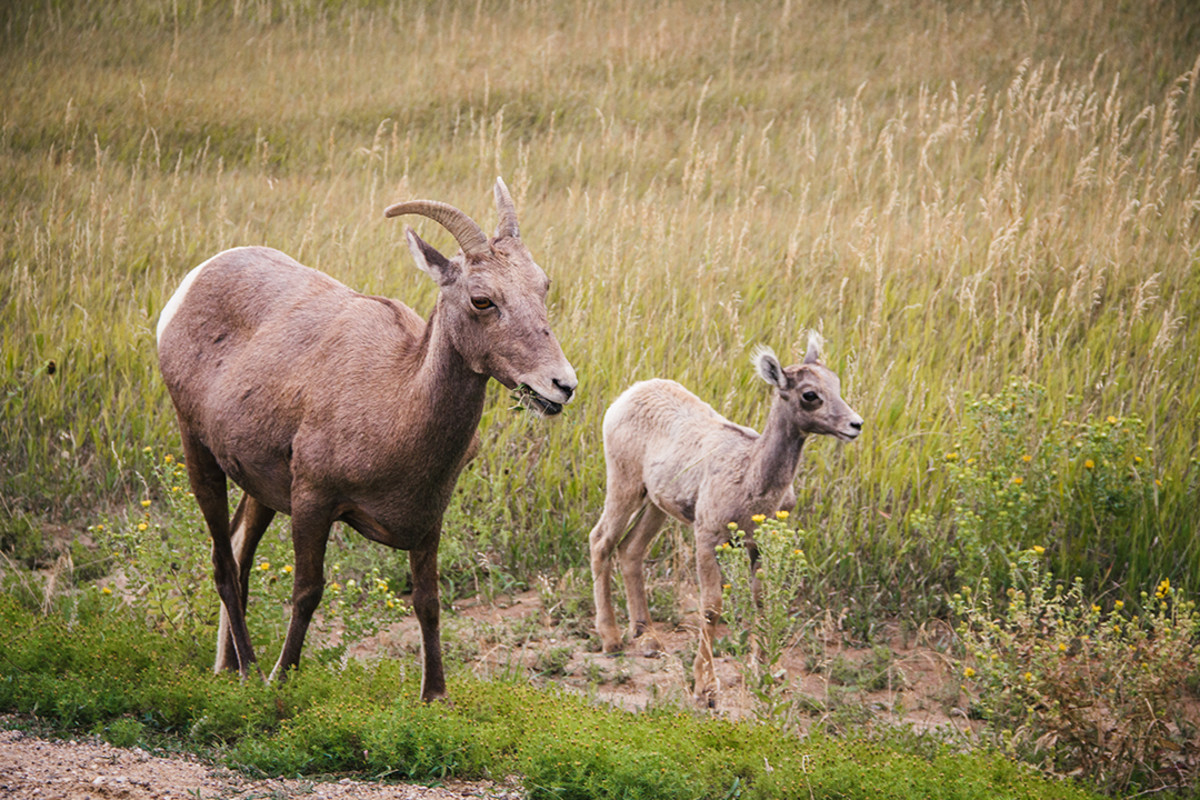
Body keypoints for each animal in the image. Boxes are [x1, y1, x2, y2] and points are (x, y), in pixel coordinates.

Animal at [156, 179, 576, 700]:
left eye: (543, 285)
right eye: (482, 300)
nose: (561, 385)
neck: (393, 402)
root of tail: (192, 284)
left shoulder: (428, 517)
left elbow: (428, 601)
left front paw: (434, 696)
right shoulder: (313, 500)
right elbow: (307, 591)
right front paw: (282, 678)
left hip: (261, 489)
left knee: (237, 548)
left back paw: (229, 667)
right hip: (198, 449)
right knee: (222, 562)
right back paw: (251, 669)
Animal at [588, 335, 854, 705]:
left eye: (837, 384)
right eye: (810, 395)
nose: (855, 425)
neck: (751, 479)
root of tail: (628, 395)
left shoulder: (758, 545)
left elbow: (761, 601)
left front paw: (768, 672)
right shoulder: (706, 537)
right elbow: (711, 608)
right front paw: (706, 688)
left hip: (656, 504)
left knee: (631, 551)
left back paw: (649, 639)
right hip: (625, 485)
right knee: (601, 541)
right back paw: (612, 640)